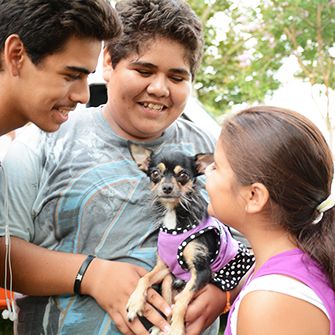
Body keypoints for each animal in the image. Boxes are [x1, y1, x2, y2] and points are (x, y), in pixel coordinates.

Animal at [127, 145, 253, 335]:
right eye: (155, 173)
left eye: (183, 175)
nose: (167, 187)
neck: (174, 218)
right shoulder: (165, 266)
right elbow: (145, 278)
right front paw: (135, 302)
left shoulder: (202, 271)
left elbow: (183, 299)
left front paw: (177, 328)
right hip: (168, 280)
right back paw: (160, 327)